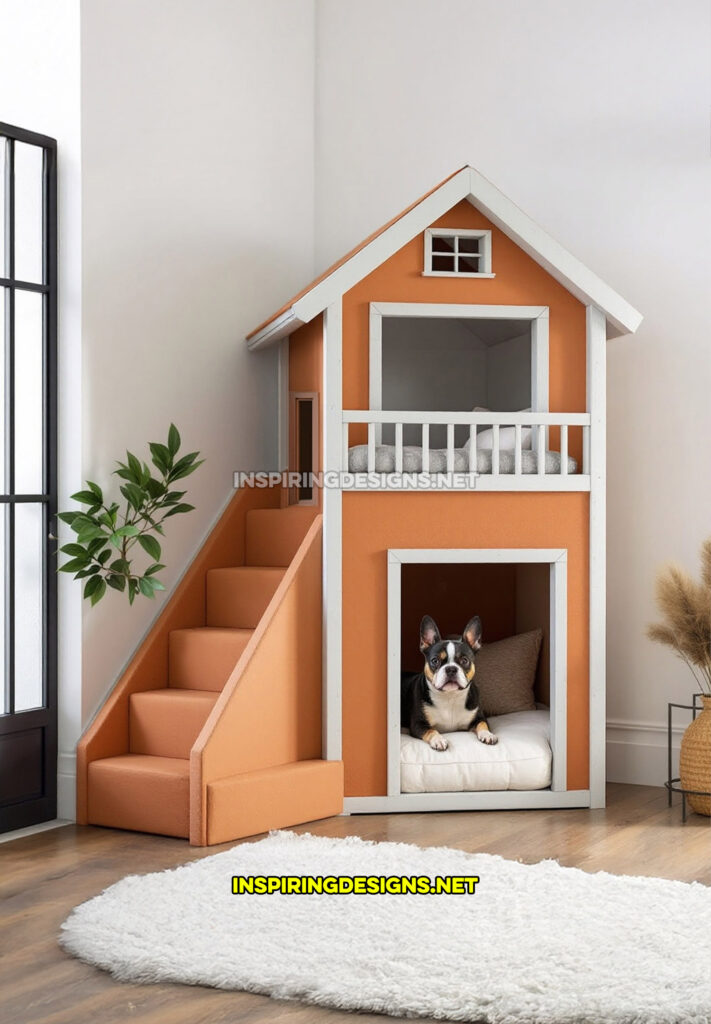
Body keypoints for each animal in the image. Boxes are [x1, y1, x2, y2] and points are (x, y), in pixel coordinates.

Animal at [403, 614, 497, 753]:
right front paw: (438, 740)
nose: (451, 669)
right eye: (435, 661)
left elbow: (482, 724)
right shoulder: (418, 724)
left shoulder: (479, 717)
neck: (450, 696)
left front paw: (488, 734)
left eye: (464, 660)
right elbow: (431, 730)